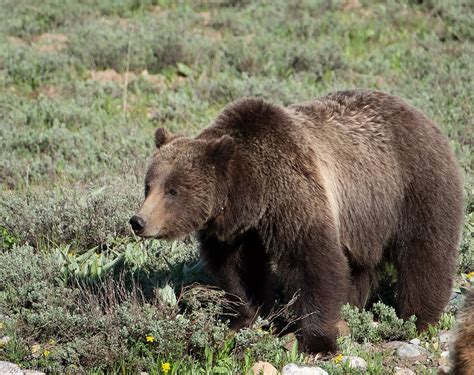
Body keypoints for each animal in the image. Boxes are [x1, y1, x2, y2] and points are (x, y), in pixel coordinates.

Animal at [130, 89, 462, 354]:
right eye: (149, 185)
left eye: (173, 190)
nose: (139, 221)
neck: (252, 194)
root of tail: (420, 114)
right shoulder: (238, 232)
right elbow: (241, 271)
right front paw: (247, 318)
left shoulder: (293, 194)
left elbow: (313, 263)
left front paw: (315, 341)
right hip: (364, 218)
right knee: (359, 266)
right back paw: (353, 308)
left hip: (413, 186)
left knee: (424, 254)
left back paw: (418, 318)